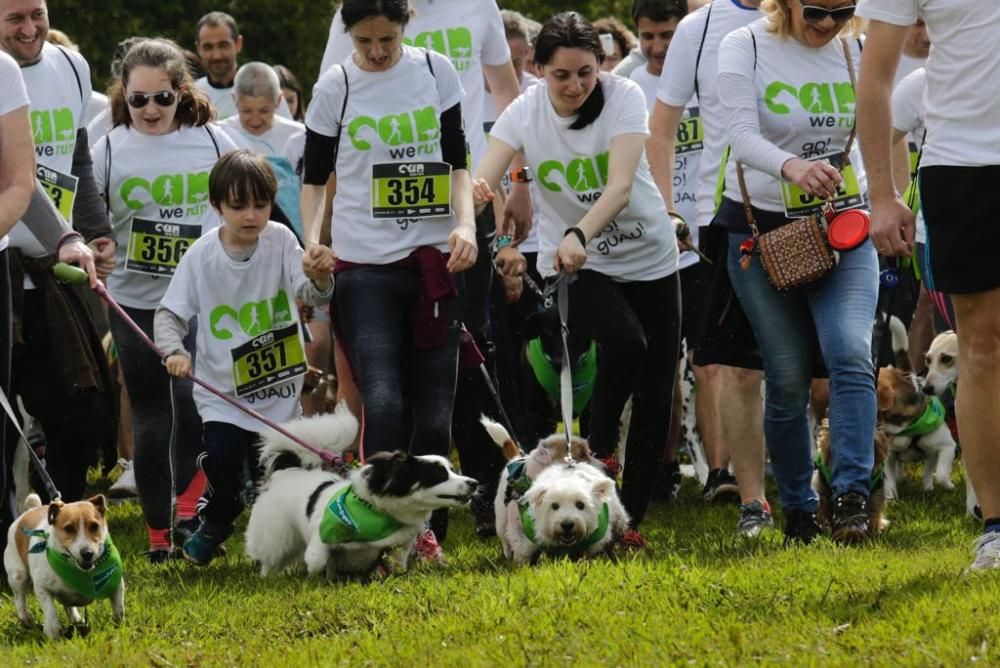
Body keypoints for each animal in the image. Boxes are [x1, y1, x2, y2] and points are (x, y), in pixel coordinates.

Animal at [2, 494, 124, 640]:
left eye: (94, 526)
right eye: (69, 528)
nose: (87, 553)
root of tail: (31, 510)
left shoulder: (117, 583)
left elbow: (119, 610)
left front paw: (118, 628)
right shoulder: (42, 587)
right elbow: (50, 611)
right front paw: (53, 633)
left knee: (69, 606)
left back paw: (77, 619)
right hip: (18, 575)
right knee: (19, 600)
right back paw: (27, 620)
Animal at [243, 408, 476, 580]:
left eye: (453, 470)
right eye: (439, 475)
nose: (474, 483)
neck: (375, 511)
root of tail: (287, 471)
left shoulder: (399, 544)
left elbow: (397, 562)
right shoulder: (322, 531)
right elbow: (317, 559)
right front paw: (316, 575)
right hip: (277, 537)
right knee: (270, 559)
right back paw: (267, 578)